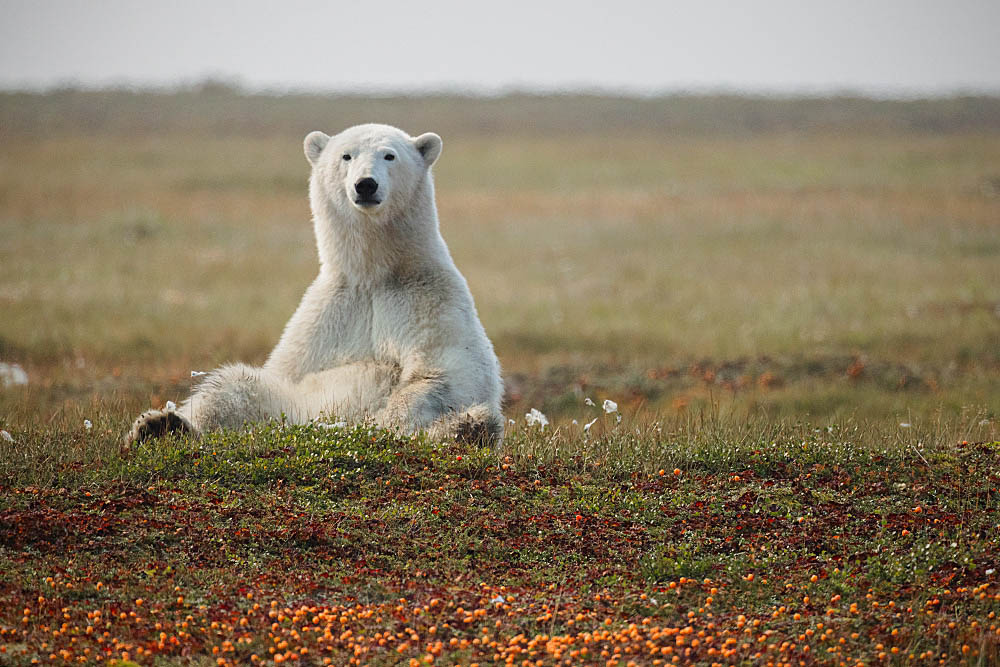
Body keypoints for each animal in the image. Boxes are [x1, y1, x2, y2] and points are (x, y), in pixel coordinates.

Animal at [129, 124, 504, 448]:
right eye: (346, 156)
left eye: (389, 155)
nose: (365, 185)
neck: (372, 275)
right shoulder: (326, 317)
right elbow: (278, 375)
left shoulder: (428, 301)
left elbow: (438, 373)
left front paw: (382, 425)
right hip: (287, 408)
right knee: (231, 388)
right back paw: (161, 426)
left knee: (469, 419)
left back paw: (467, 428)